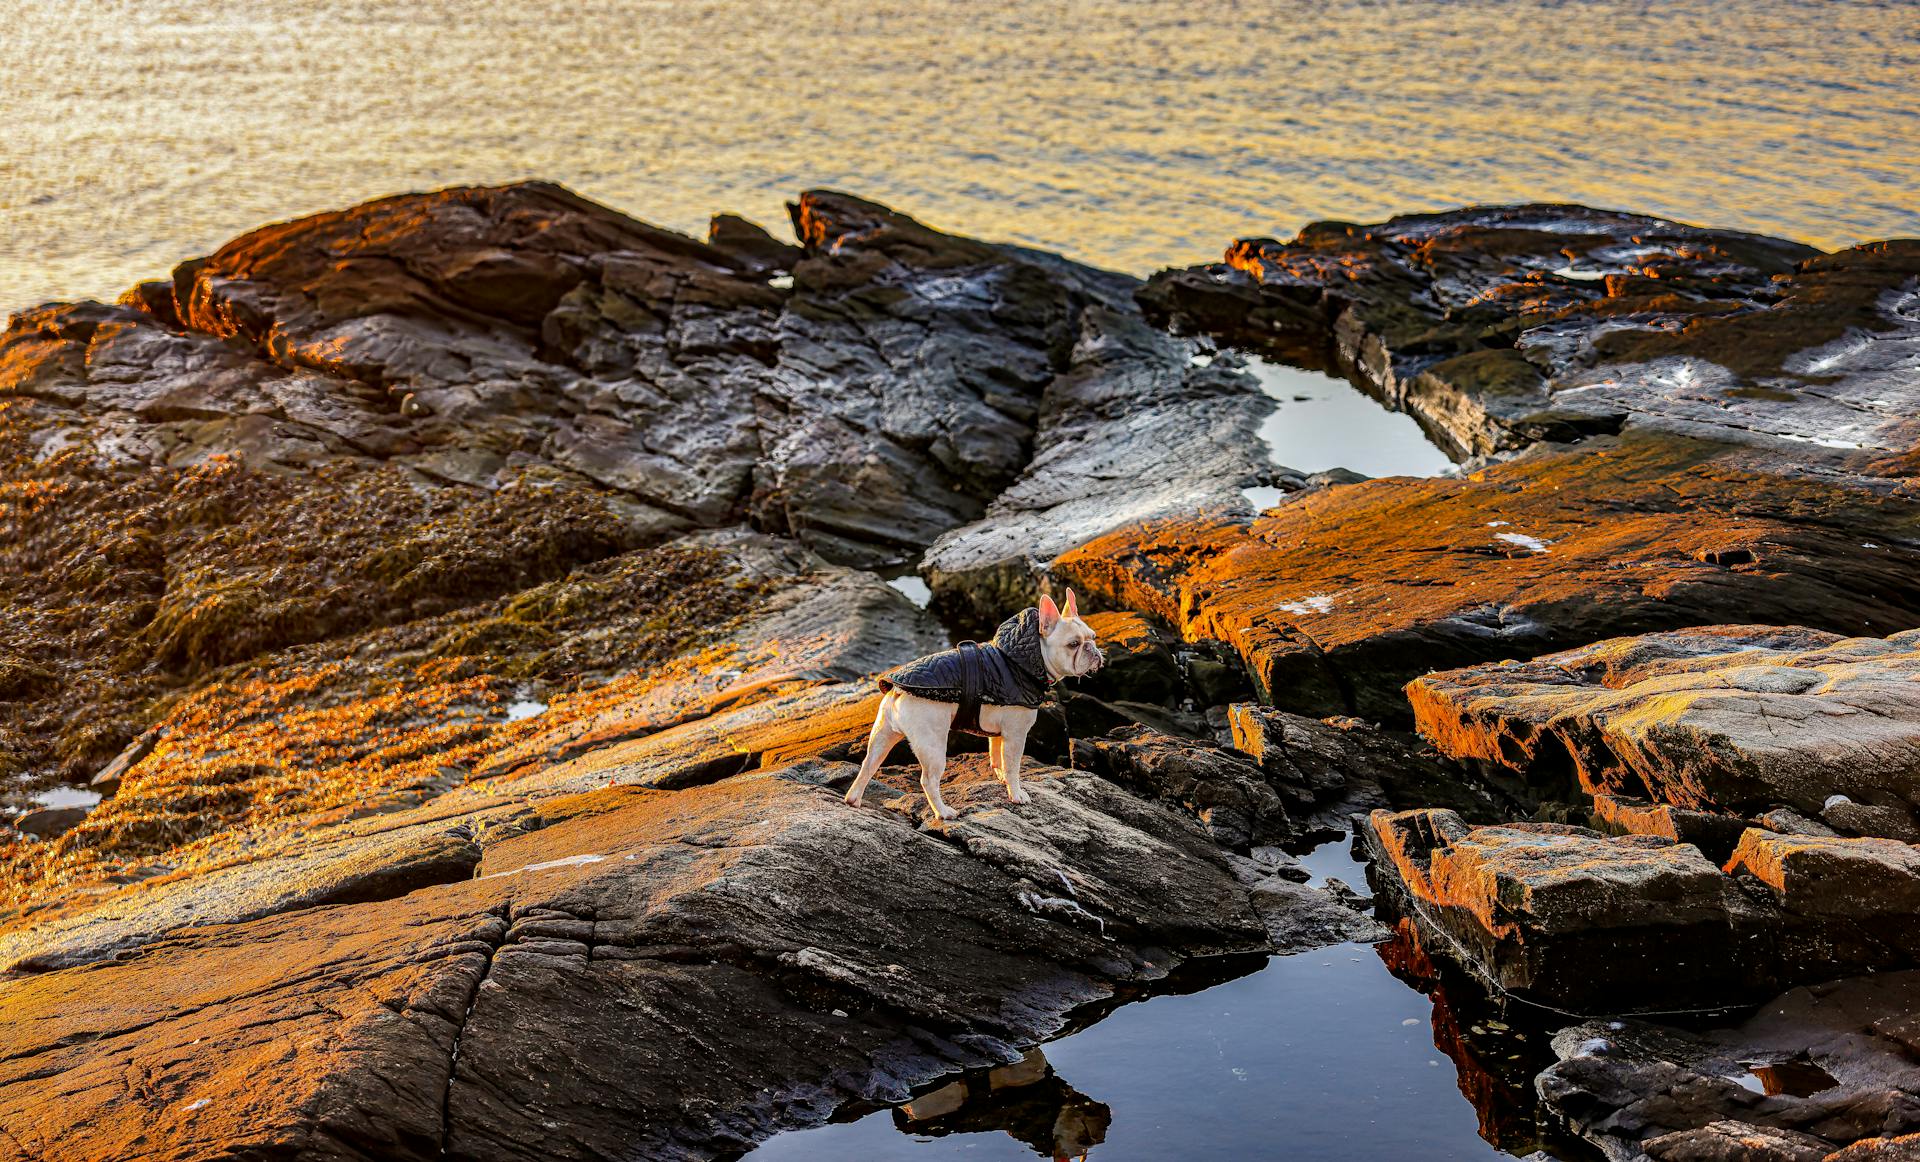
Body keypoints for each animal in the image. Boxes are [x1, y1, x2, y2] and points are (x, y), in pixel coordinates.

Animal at [844, 587, 1105, 825]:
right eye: (1073, 644)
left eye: (1092, 637)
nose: (1093, 650)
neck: (1026, 659)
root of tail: (898, 691)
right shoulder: (1016, 734)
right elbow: (1013, 766)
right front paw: (1016, 794)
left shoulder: (999, 732)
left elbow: (996, 755)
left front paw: (1000, 777)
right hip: (933, 743)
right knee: (928, 780)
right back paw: (943, 812)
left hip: (882, 734)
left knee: (868, 764)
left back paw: (853, 799)